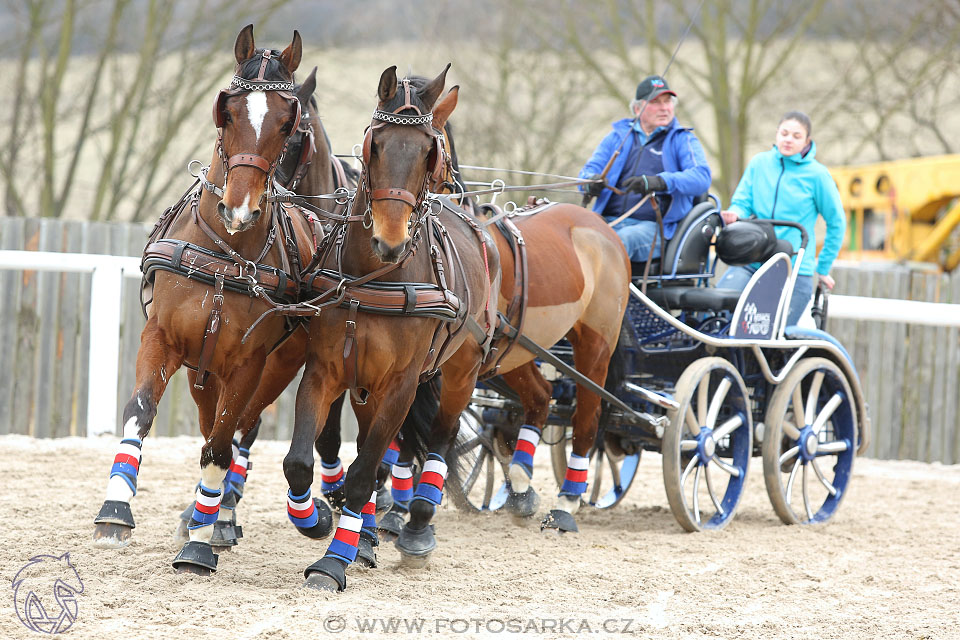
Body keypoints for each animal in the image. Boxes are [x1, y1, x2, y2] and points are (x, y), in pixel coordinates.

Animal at [90, 26, 344, 576]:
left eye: (288, 123)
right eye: (226, 110)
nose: (240, 208)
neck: (226, 251)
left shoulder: (249, 361)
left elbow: (223, 446)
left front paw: (201, 545)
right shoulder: (163, 339)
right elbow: (140, 411)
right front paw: (116, 509)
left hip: (274, 367)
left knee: (237, 431)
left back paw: (221, 516)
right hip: (202, 372)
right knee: (213, 427)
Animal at [280, 65, 498, 592]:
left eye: (428, 151)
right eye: (373, 144)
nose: (390, 240)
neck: (374, 276)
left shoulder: (401, 385)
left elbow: (366, 472)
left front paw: (333, 561)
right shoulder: (327, 371)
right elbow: (302, 460)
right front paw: (317, 519)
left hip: (462, 372)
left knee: (440, 439)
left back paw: (416, 525)